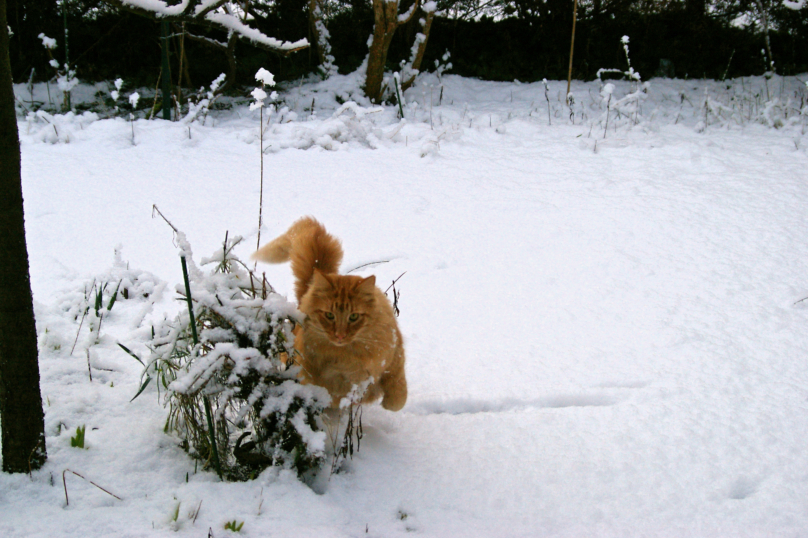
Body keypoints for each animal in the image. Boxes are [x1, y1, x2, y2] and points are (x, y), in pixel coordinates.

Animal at [251, 218, 408, 410]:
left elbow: (398, 397)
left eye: (353, 317)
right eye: (329, 315)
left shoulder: (395, 358)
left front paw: (387, 403)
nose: (340, 335)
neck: (349, 355)